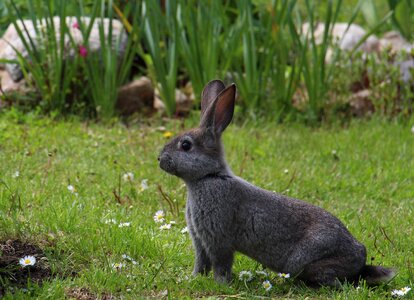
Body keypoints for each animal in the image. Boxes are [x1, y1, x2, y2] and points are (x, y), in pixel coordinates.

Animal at [158, 81, 394, 288]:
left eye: (186, 145)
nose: (159, 159)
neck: (209, 176)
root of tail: (360, 259)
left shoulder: (218, 240)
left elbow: (221, 265)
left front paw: (221, 284)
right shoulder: (200, 241)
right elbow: (201, 263)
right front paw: (193, 278)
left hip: (306, 261)